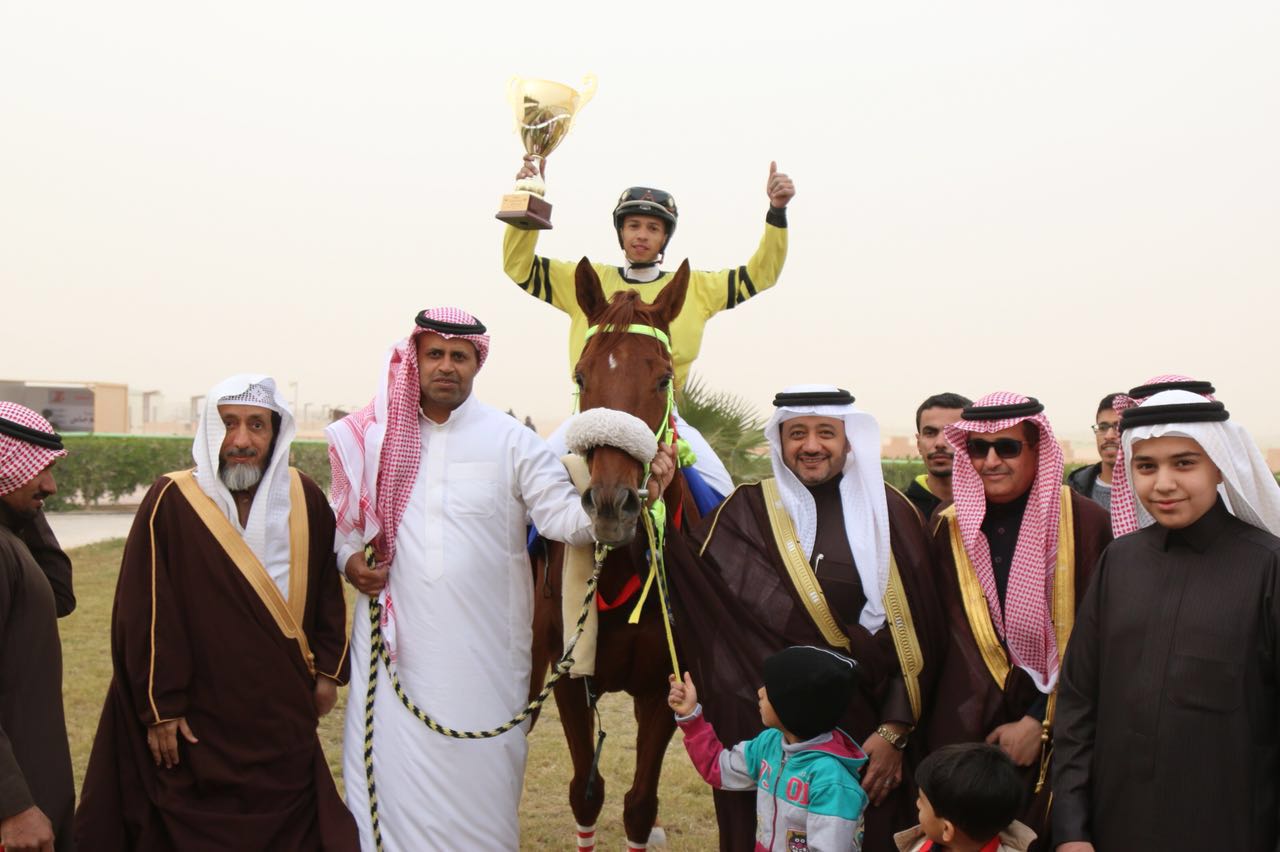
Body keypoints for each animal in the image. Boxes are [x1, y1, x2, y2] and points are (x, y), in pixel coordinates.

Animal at [532, 257, 706, 844]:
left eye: (663, 377)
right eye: (581, 376)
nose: (612, 504)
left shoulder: (663, 686)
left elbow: (639, 806)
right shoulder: (568, 680)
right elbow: (585, 796)